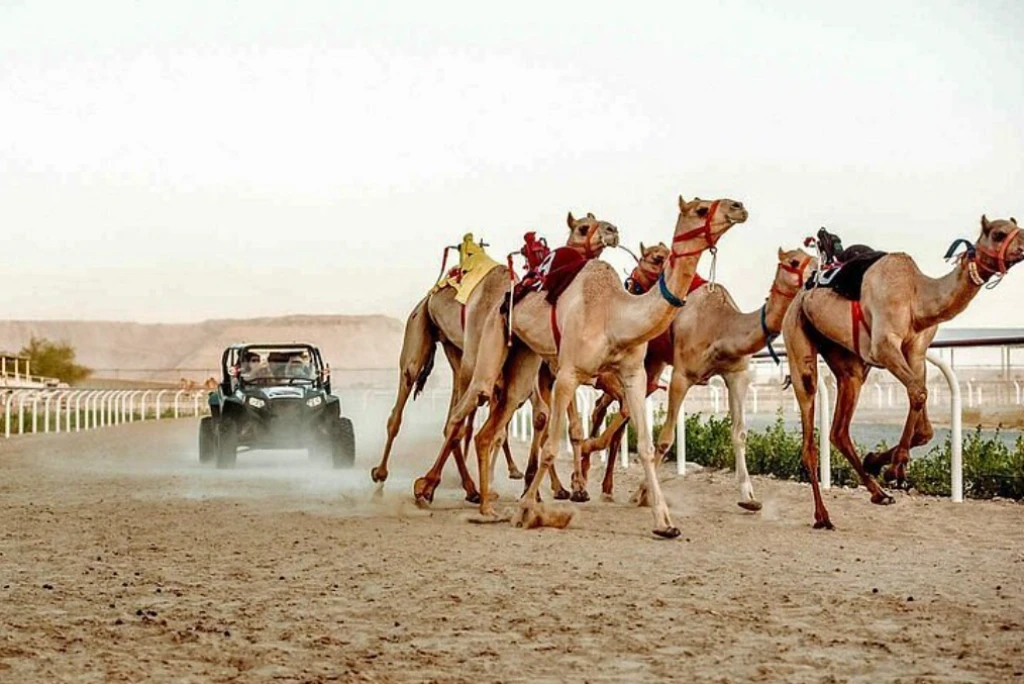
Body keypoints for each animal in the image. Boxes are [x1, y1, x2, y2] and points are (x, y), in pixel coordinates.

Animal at [372, 217, 618, 504]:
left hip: (455, 351)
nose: (612, 230)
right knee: (405, 400)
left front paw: (567, 488)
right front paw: (429, 485)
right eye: (582, 227)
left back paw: (471, 487)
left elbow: (553, 421)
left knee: (457, 415)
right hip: (424, 329)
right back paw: (381, 476)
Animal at [449, 196, 749, 537]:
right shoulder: (567, 374)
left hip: (524, 357)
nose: (738, 206)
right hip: (493, 335)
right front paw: (527, 509)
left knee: (490, 427)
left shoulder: (634, 375)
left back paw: (487, 506)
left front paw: (665, 522)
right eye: (700, 209)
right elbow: (552, 447)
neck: (614, 315)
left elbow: (645, 446)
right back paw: (440, 493)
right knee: (468, 404)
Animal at [579, 246, 817, 510]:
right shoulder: (682, 375)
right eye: (794, 261)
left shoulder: (737, 375)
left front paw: (749, 498)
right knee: (604, 405)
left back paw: (603, 485)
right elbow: (666, 438)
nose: (815, 276)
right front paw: (642, 494)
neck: (721, 326)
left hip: (652, 366)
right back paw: (586, 473)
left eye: (816, 259)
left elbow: (739, 433)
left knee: (617, 410)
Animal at [782, 215, 1022, 529]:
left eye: (1019, 229)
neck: (917, 296)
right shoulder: (884, 346)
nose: (1022, 247)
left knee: (839, 430)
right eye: (998, 233)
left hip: (850, 365)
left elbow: (925, 424)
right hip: (798, 342)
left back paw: (879, 493)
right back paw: (823, 516)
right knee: (810, 436)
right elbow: (918, 392)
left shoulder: (916, 352)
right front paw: (896, 468)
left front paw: (877, 461)